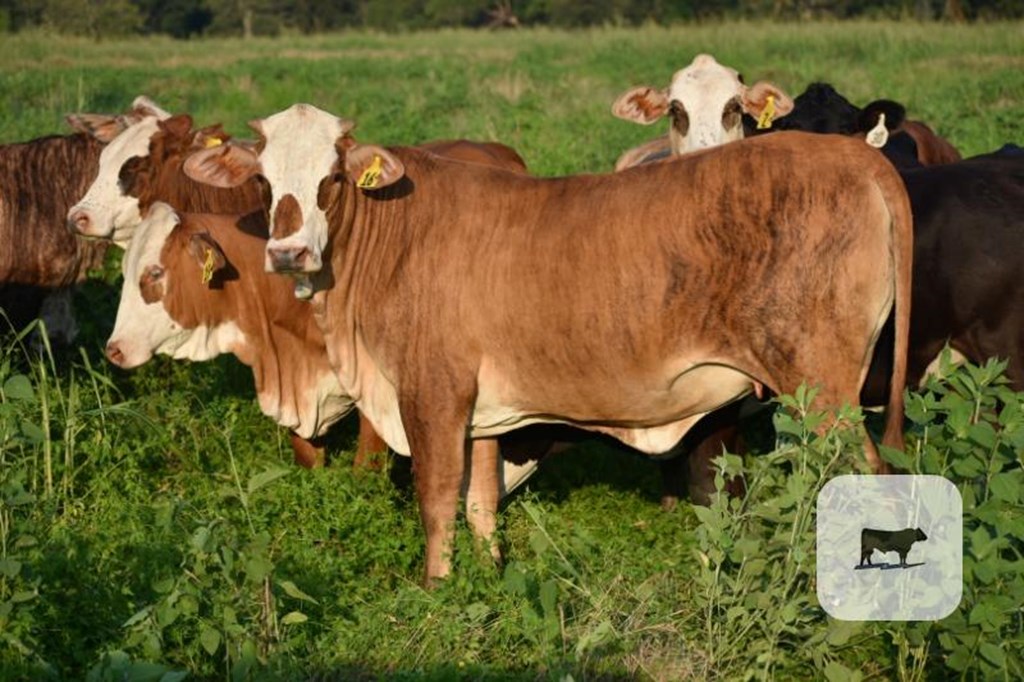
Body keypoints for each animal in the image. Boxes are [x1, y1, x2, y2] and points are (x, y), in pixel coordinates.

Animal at [188, 103, 917, 581]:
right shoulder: (483, 412)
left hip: (822, 390)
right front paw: (488, 578)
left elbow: (436, 501)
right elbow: (480, 503)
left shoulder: (432, 394)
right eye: (264, 181)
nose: (287, 252)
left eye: (331, 179)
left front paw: (435, 590)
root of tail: (851, 153)